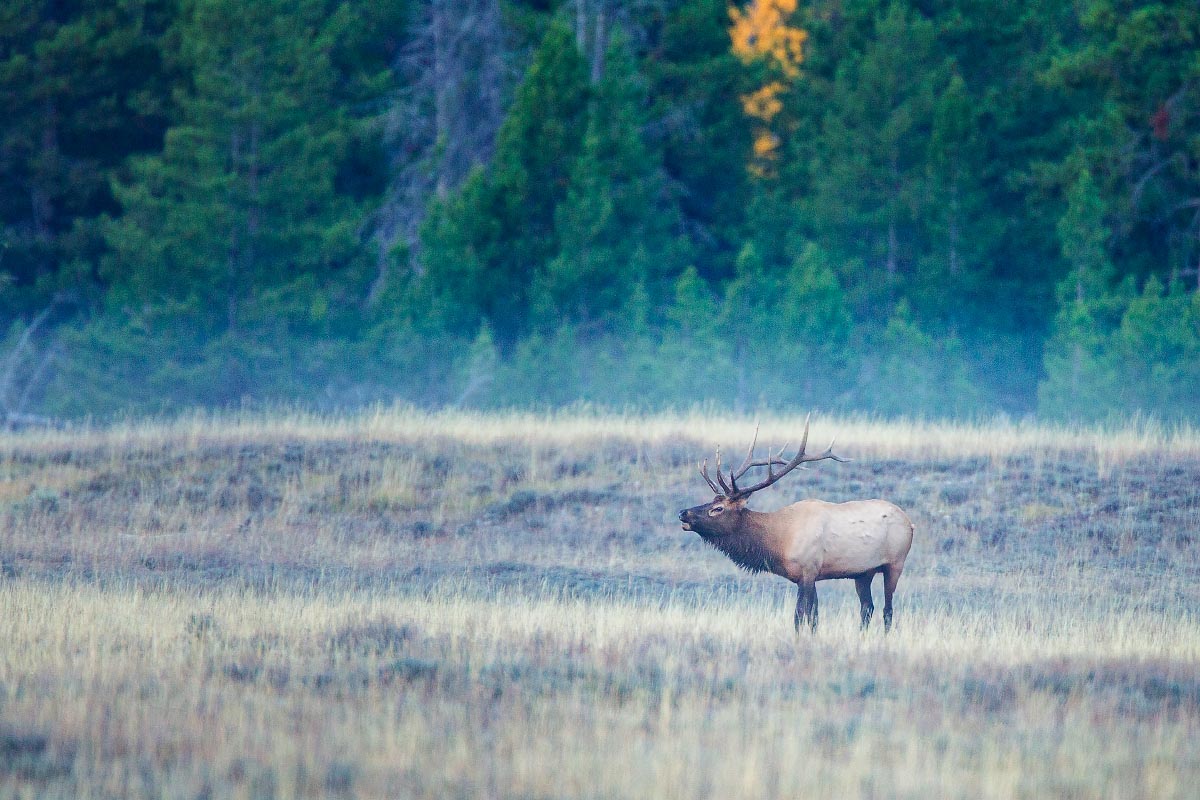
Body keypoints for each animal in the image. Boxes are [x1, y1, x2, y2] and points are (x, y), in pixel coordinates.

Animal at [681, 419, 912, 633]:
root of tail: (910, 523)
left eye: (718, 508)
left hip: (895, 563)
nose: (683, 513)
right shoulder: (811, 574)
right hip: (864, 572)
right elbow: (814, 616)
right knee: (867, 607)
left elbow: (800, 615)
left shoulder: (808, 569)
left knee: (887, 609)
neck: (779, 541)